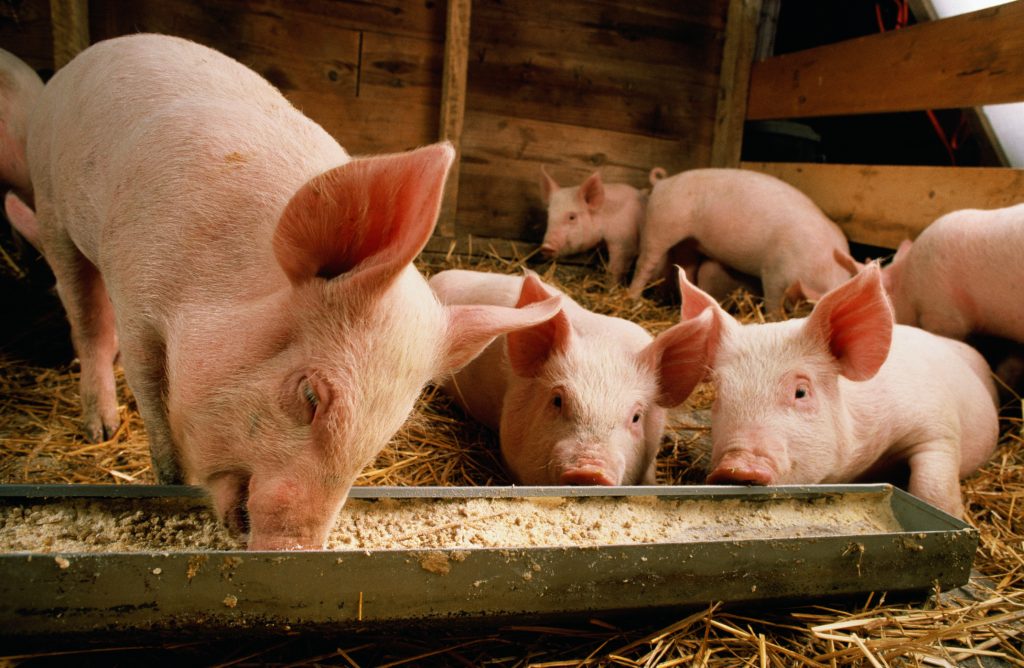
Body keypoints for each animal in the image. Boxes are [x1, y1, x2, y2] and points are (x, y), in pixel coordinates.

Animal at [21, 34, 562, 550]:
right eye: (309, 395)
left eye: (387, 428)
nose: (294, 547)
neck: (209, 285)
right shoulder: (137, 292)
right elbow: (151, 391)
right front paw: (168, 480)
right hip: (49, 201)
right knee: (86, 314)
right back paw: (101, 428)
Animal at [627, 168, 855, 314]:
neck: (823, 266)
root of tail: (662, 182)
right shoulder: (773, 272)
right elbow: (773, 305)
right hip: (659, 226)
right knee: (644, 264)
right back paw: (633, 299)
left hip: (689, 242)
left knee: (686, 269)